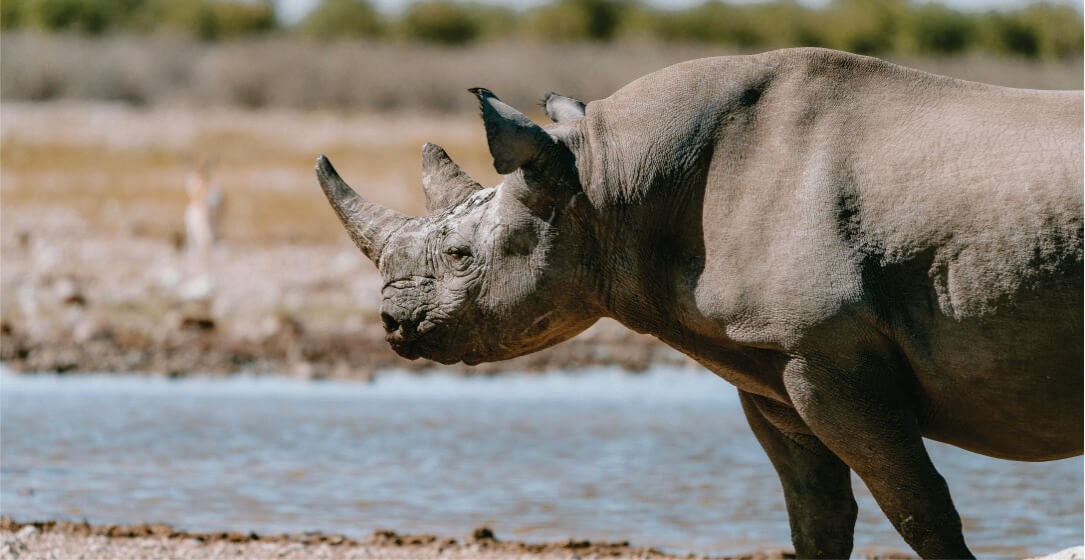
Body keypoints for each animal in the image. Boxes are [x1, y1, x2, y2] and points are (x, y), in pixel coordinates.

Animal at [314, 48, 1083, 558]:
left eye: (459, 256)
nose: (394, 324)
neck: (607, 178)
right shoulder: (773, 361)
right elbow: (817, 517)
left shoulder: (827, 347)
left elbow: (920, 508)